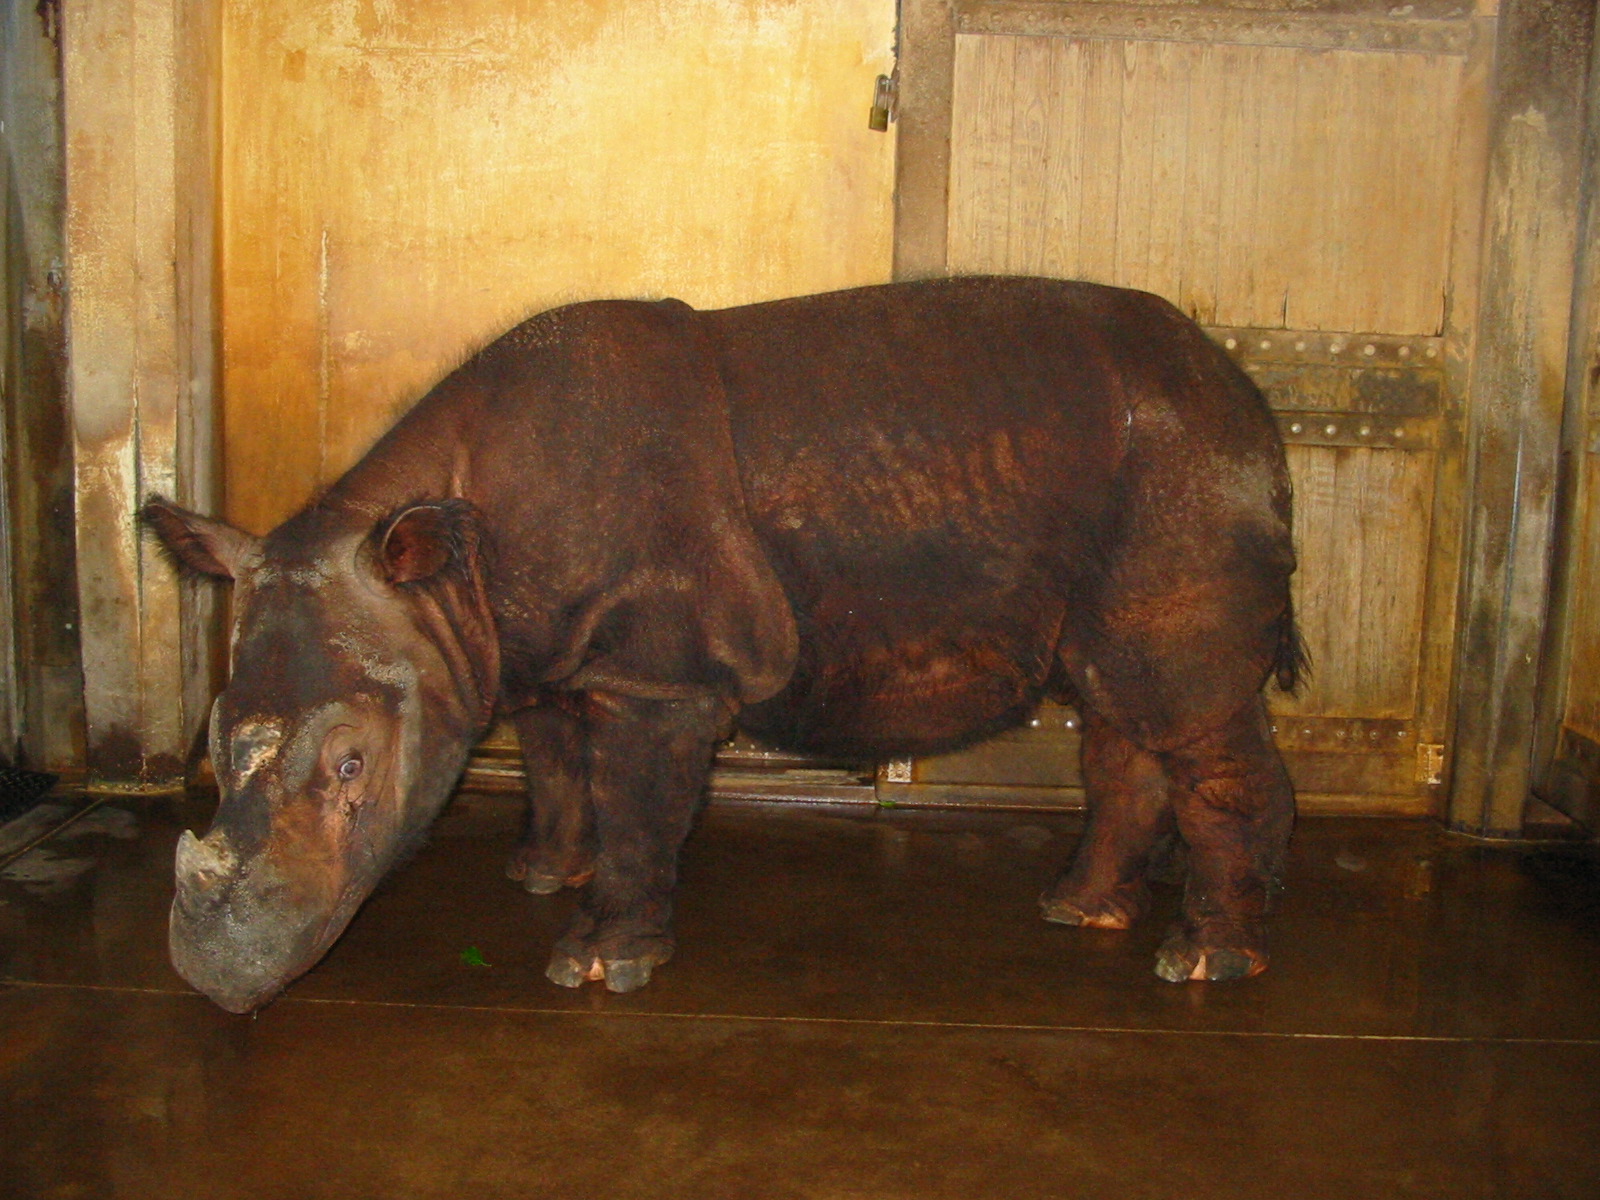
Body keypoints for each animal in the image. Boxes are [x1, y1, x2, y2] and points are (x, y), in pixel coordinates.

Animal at [144, 276, 1302, 1013]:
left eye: (351, 766)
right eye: (211, 732)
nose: (212, 978)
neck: (449, 565)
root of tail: (1248, 403)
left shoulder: (658, 675)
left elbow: (635, 802)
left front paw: (597, 967)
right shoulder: (536, 653)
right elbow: (556, 764)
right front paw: (541, 875)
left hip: (1180, 475)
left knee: (1182, 705)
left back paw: (1205, 964)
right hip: (1149, 479)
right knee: (1121, 703)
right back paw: (1080, 913)